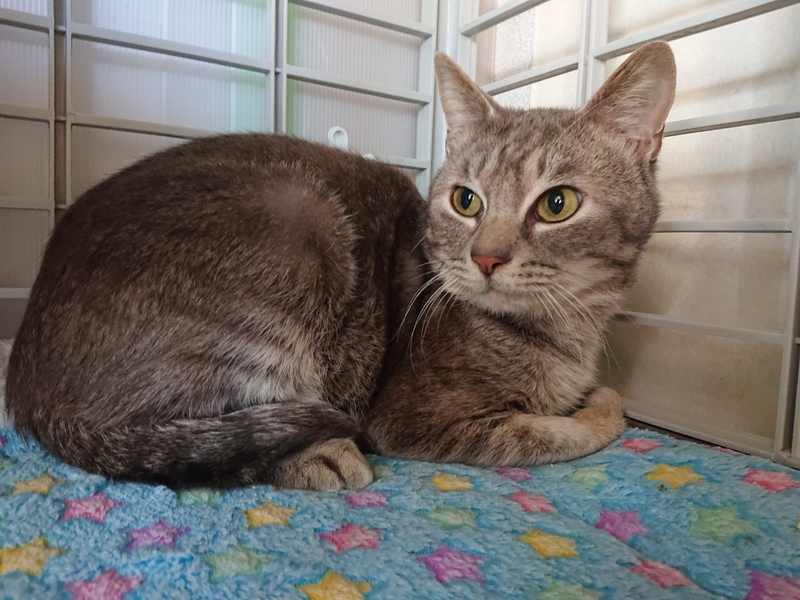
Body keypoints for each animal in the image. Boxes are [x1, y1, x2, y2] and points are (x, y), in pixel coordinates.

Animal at [5, 42, 676, 490]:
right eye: (467, 201)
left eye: (557, 204)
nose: (485, 256)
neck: (569, 331)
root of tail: (26, 389)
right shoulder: (419, 419)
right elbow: (561, 430)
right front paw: (597, 403)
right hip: (298, 235)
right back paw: (322, 454)